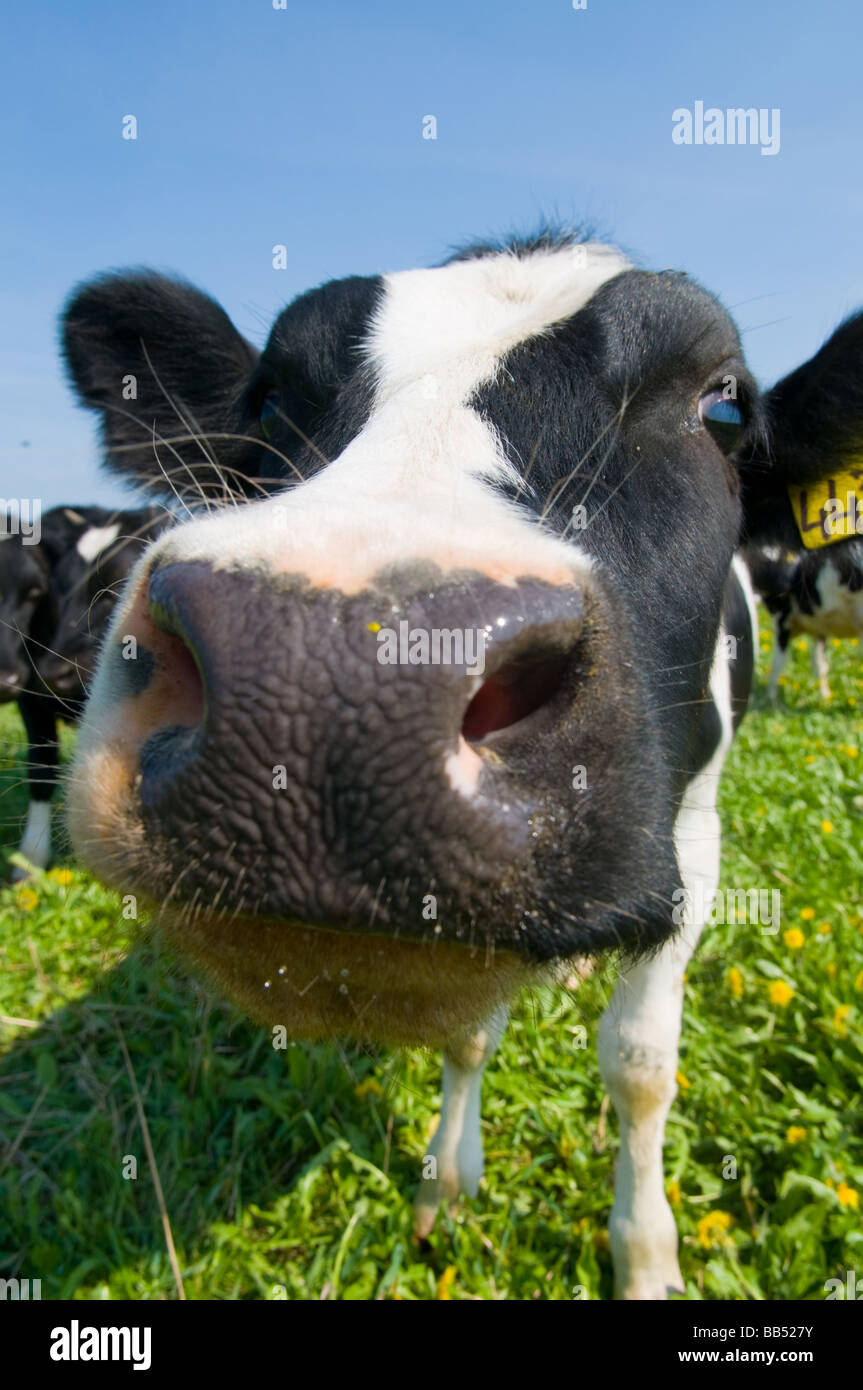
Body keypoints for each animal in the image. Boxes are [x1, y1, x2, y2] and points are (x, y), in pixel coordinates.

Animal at [0, 505, 166, 876]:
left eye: (34, 594)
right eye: (51, 595)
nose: (52, 673)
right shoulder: (32, 701)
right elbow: (42, 768)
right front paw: (31, 859)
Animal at [58, 235, 862, 1299]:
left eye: (722, 408)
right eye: (266, 402)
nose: (323, 679)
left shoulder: (694, 836)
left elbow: (640, 1064)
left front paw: (645, 1251)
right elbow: (467, 1030)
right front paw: (446, 1176)